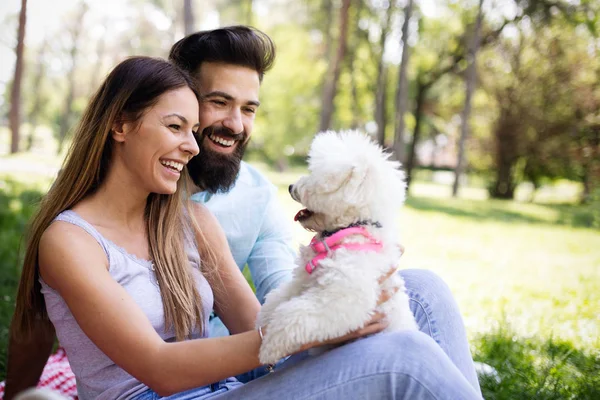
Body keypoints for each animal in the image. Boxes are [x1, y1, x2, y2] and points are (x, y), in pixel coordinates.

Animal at [256, 130, 418, 366]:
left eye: (314, 175)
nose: (290, 187)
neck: (347, 229)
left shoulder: (342, 295)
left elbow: (294, 314)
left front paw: (270, 347)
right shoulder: (303, 280)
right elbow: (279, 297)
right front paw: (263, 320)